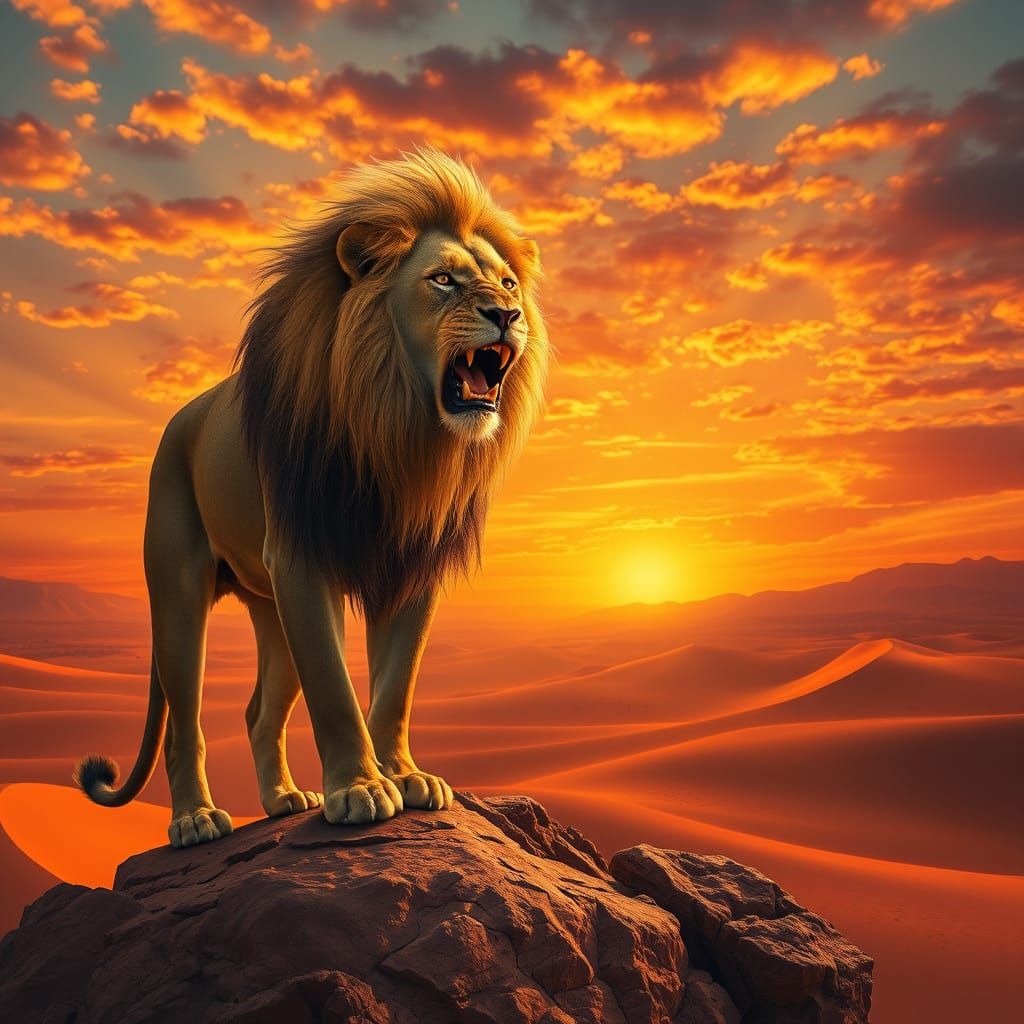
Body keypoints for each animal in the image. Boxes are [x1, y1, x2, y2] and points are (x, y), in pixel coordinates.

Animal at [74, 149, 548, 847]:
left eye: (509, 285)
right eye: (443, 281)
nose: (508, 317)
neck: (401, 433)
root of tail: (180, 421)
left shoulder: (410, 567)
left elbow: (395, 688)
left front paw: (405, 777)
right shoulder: (301, 559)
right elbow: (335, 690)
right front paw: (360, 790)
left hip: (270, 607)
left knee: (256, 711)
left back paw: (282, 800)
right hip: (180, 592)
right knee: (186, 720)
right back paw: (195, 819)